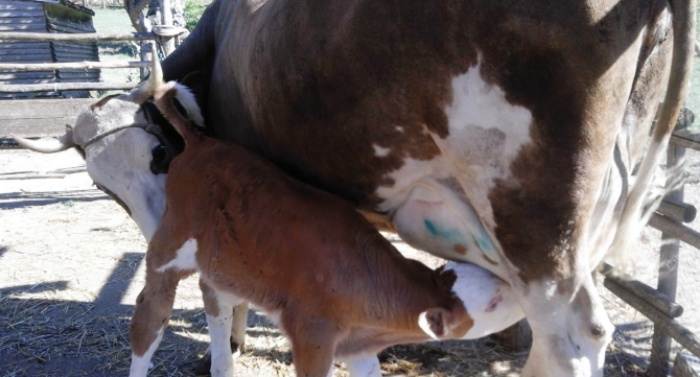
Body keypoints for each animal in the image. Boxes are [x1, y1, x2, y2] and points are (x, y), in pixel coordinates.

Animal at [130, 76, 524, 376]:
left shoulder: (358, 346)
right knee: (150, 315)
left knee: (216, 301)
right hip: (169, 246)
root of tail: (201, 142)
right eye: (491, 303)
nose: (523, 297)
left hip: (225, 263)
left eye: (497, 282)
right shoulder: (312, 334)